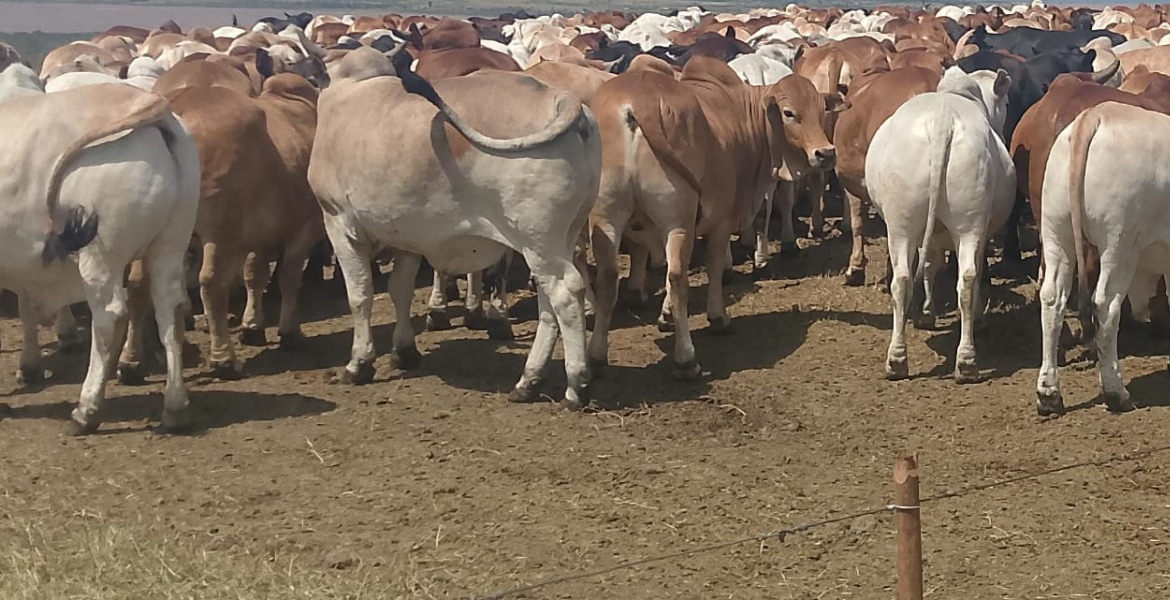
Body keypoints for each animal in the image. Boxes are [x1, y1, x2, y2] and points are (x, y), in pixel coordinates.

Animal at [0, 80, 200, 435]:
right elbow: (26, 307)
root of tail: (148, 103)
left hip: (100, 256)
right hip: (170, 245)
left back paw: (86, 410)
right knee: (172, 311)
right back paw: (176, 408)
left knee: (110, 317)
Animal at [308, 48, 601, 409]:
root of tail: (563, 98)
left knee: (565, 294)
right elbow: (400, 290)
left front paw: (358, 364)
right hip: (557, 238)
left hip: (539, 241)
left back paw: (576, 386)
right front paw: (404, 351)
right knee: (550, 303)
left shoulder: (338, 222)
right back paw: (528, 382)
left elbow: (360, 296)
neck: (347, 92)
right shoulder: (404, 236)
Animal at [587, 56, 838, 378]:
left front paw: (664, 315)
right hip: (679, 222)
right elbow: (715, 266)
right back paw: (687, 359)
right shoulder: (721, 220)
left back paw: (595, 357)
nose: (826, 153)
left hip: (605, 220)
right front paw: (718, 317)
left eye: (821, 110)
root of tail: (638, 102)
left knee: (608, 279)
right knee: (678, 277)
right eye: (789, 113)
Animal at [866, 67, 1014, 383]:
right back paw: (966, 359)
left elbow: (930, 265)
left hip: (901, 221)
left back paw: (899, 360)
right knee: (968, 278)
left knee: (904, 280)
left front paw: (926, 313)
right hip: (970, 222)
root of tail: (942, 121)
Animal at [1036, 102, 1170, 416]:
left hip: (1056, 230)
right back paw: (1116, 393)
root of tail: (1094, 115)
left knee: (1052, 298)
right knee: (1106, 305)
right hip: (1118, 242)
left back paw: (1049, 394)